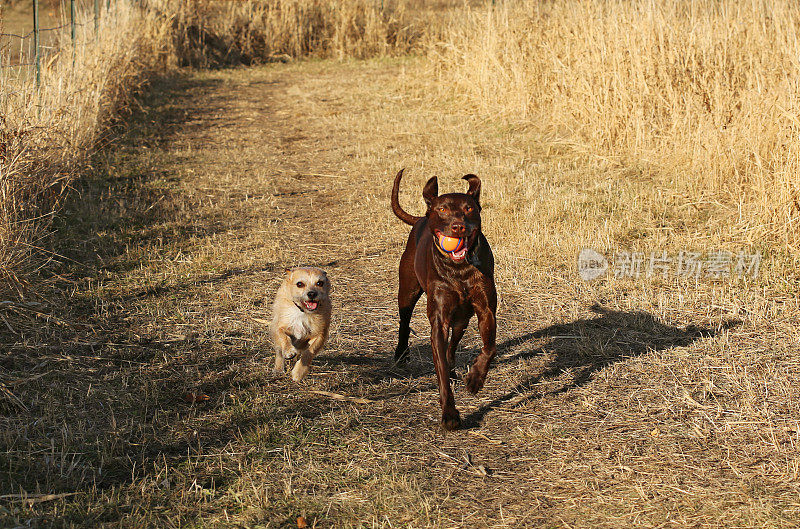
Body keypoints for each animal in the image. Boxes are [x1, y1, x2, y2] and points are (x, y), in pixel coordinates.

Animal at [390, 169, 496, 428]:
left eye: (469, 208)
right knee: (404, 322)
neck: (459, 269)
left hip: (462, 319)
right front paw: (449, 414)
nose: (458, 227)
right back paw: (401, 354)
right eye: (443, 210)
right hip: (407, 292)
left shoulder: (486, 310)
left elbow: (489, 347)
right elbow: (441, 371)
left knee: (453, 345)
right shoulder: (439, 321)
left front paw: (475, 379)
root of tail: (421, 218)